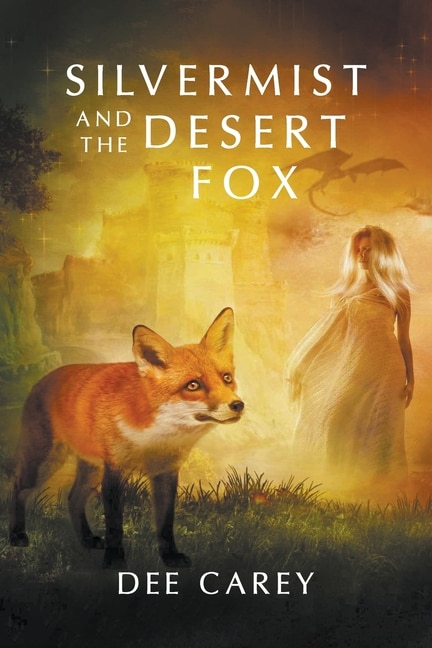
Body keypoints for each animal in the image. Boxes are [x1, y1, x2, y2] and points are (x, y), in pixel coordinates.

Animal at [9, 307, 244, 568]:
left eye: (226, 378)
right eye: (193, 385)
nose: (238, 405)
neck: (154, 436)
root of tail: (43, 378)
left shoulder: (165, 472)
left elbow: (165, 524)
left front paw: (170, 557)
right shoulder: (115, 471)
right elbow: (114, 525)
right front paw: (114, 561)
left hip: (91, 469)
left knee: (73, 498)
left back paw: (87, 540)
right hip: (44, 463)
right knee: (16, 488)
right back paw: (17, 535)